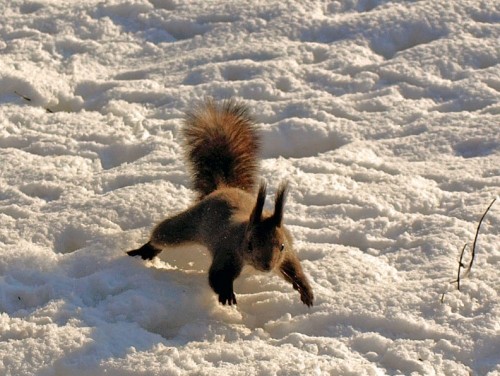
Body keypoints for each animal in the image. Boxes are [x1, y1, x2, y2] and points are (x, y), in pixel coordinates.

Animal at [130, 98, 316, 306]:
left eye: (281, 246)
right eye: (250, 244)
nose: (267, 266)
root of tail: (223, 187)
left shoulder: (287, 254)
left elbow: (295, 271)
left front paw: (305, 291)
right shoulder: (228, 251)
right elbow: (217, 277)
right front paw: (227, 295)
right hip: (188, 224)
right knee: (163, 234)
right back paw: (144, 251)